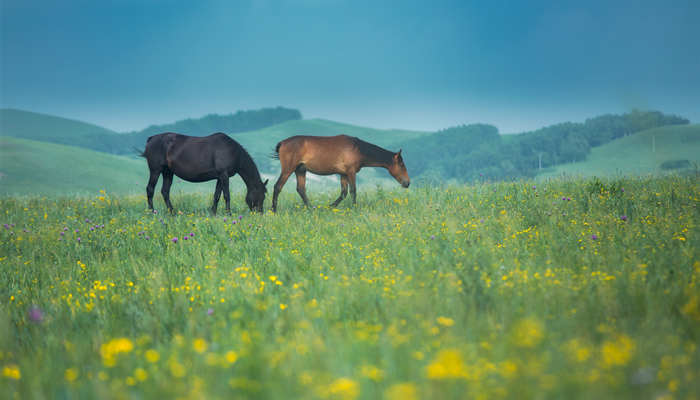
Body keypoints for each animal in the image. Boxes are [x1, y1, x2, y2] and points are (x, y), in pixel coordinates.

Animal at [270, 134, 408, 211]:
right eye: (401, 164)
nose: (407, 183)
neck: (358, 149)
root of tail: (283, 143)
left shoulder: (343, 174)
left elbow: (344, 193)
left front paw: (330, 206)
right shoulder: (351, 172)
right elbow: (353, 191)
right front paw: (354, 208)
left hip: (300, 170)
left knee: (301, 189)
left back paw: (312, 208)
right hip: (288, 169)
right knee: (278, 187)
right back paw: (274, 210)